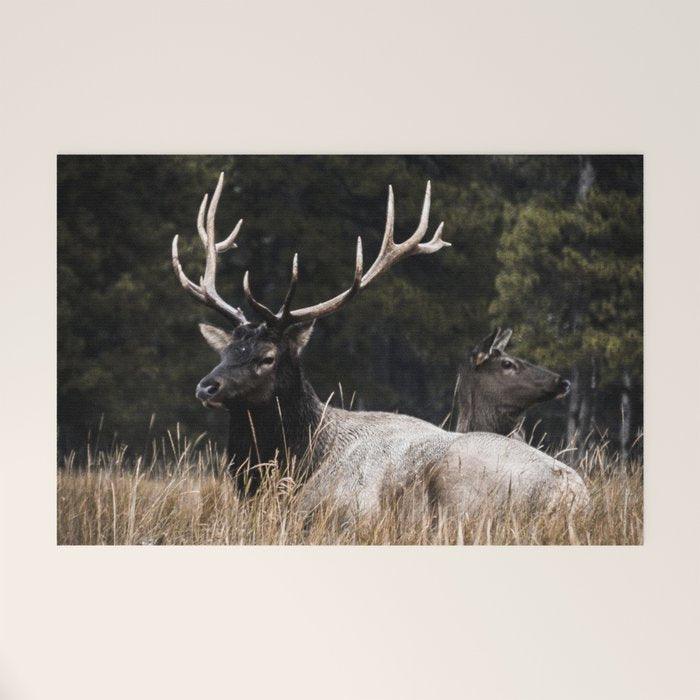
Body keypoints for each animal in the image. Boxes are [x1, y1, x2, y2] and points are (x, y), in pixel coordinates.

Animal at [172, 173, 589, 520]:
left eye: (267, 357)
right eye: (225, 352)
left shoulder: (350, 511)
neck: (299, 462)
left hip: (461, 488)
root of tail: (574, 495)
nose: (207, 387)